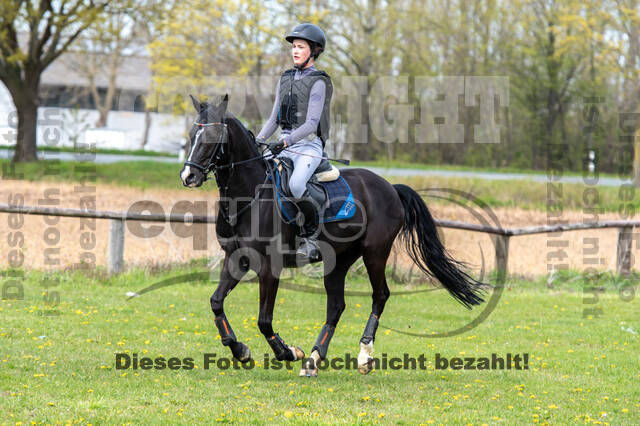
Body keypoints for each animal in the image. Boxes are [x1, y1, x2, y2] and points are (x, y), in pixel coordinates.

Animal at [178, 94, 482, 376]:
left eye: (212, 139)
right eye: (192, 135)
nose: (188, 176)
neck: (248, 197)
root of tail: (390, 187)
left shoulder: (269, 266)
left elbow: (264, 320)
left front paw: (289, 352)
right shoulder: (236, 258)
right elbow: (216, 302)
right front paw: (240, 350)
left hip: (375, 253)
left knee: (380, 295)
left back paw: (363, 355)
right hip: (339, 260)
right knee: (336, 306)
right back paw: (314, 359)